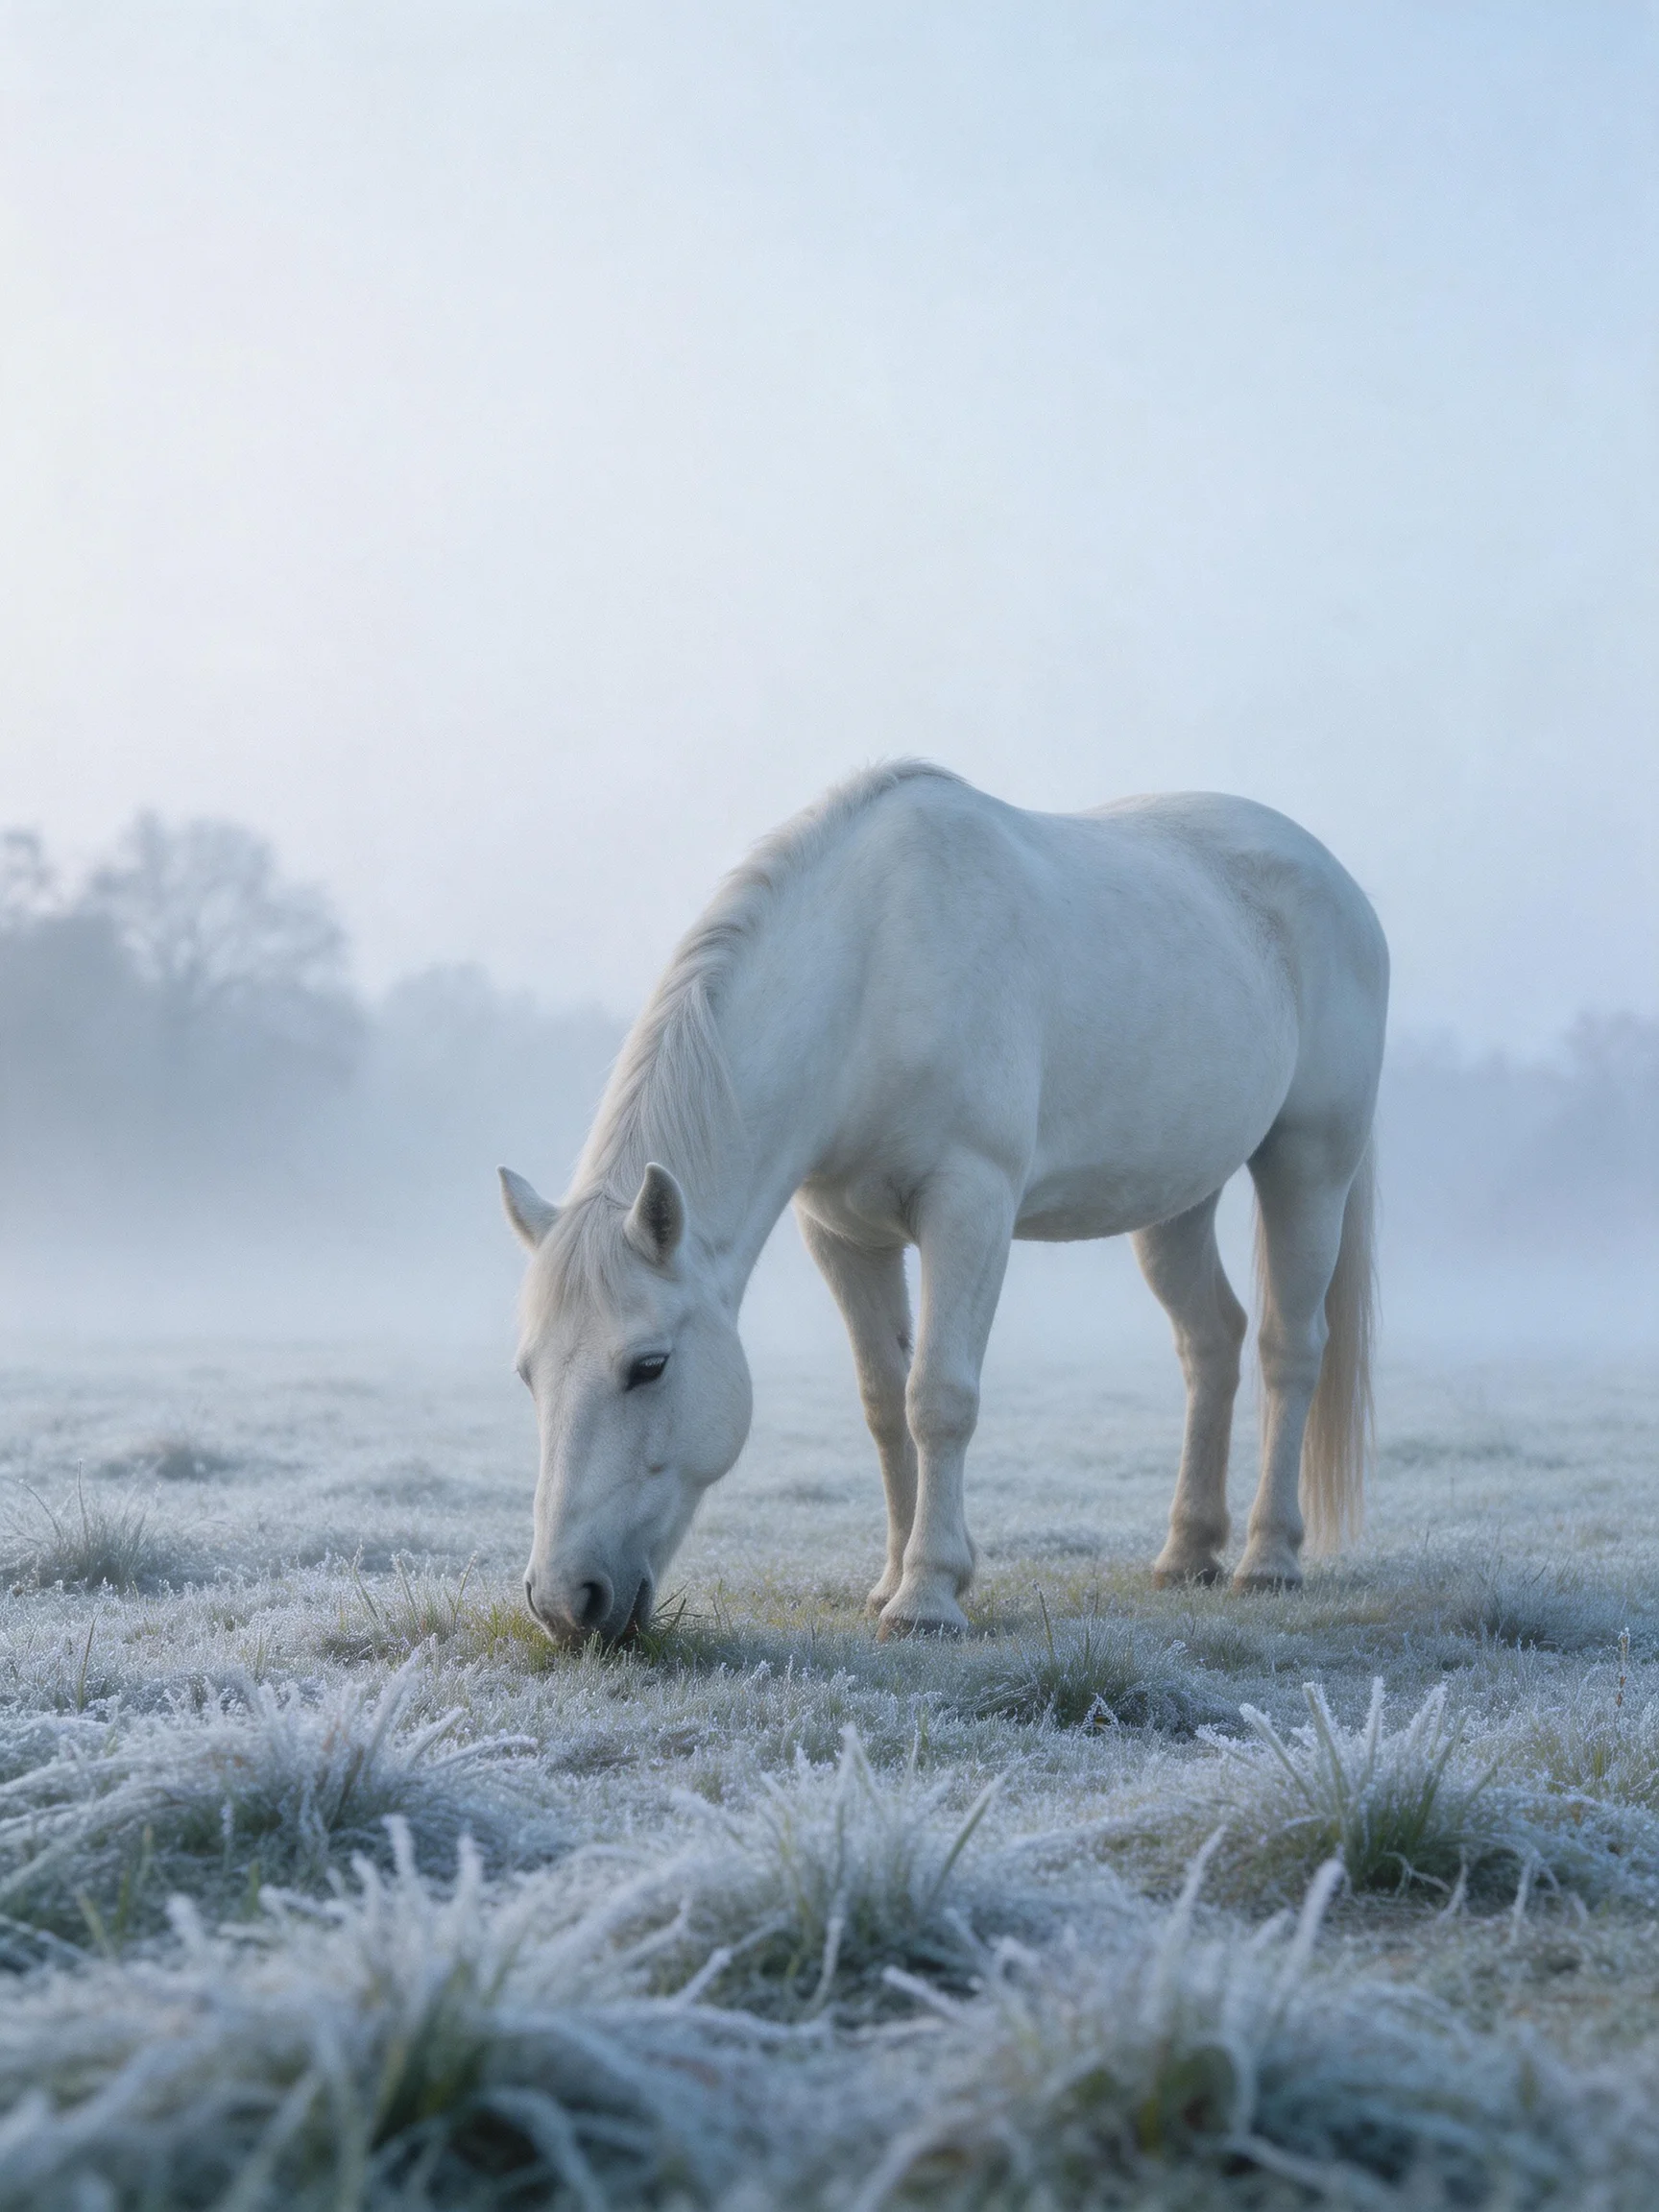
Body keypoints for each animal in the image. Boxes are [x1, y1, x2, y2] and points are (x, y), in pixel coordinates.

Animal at [501, 763, 1388, 1644]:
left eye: (648, 1366)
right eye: (527, 1374)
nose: (565, 1600)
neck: (871, 970)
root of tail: (1343, 887)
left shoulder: (970, 1206)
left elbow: (938, 1398)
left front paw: (928, 1594)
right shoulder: (842, 1233)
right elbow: (885, 1401)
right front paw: (892, 1578)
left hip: (1310, 1163)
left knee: (1288, 1348)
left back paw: (1268, 1560)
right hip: (1176, 1200)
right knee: (1210, 1343)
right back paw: (1189, 1551)